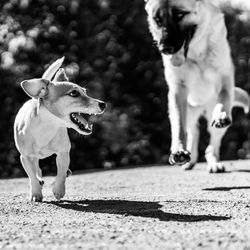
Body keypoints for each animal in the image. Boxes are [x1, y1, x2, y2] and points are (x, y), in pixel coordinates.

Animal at [13, 57, 105, 202]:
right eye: (74, 93)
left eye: (85, 91)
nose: (103, 104)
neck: (47, 126)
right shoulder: (25, 157)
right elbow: (31, 176)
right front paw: (35, 193)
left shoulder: (63, 153)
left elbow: (60, 174)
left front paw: (58, 190)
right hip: (31, 158)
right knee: (36, 169)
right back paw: (39, 180)